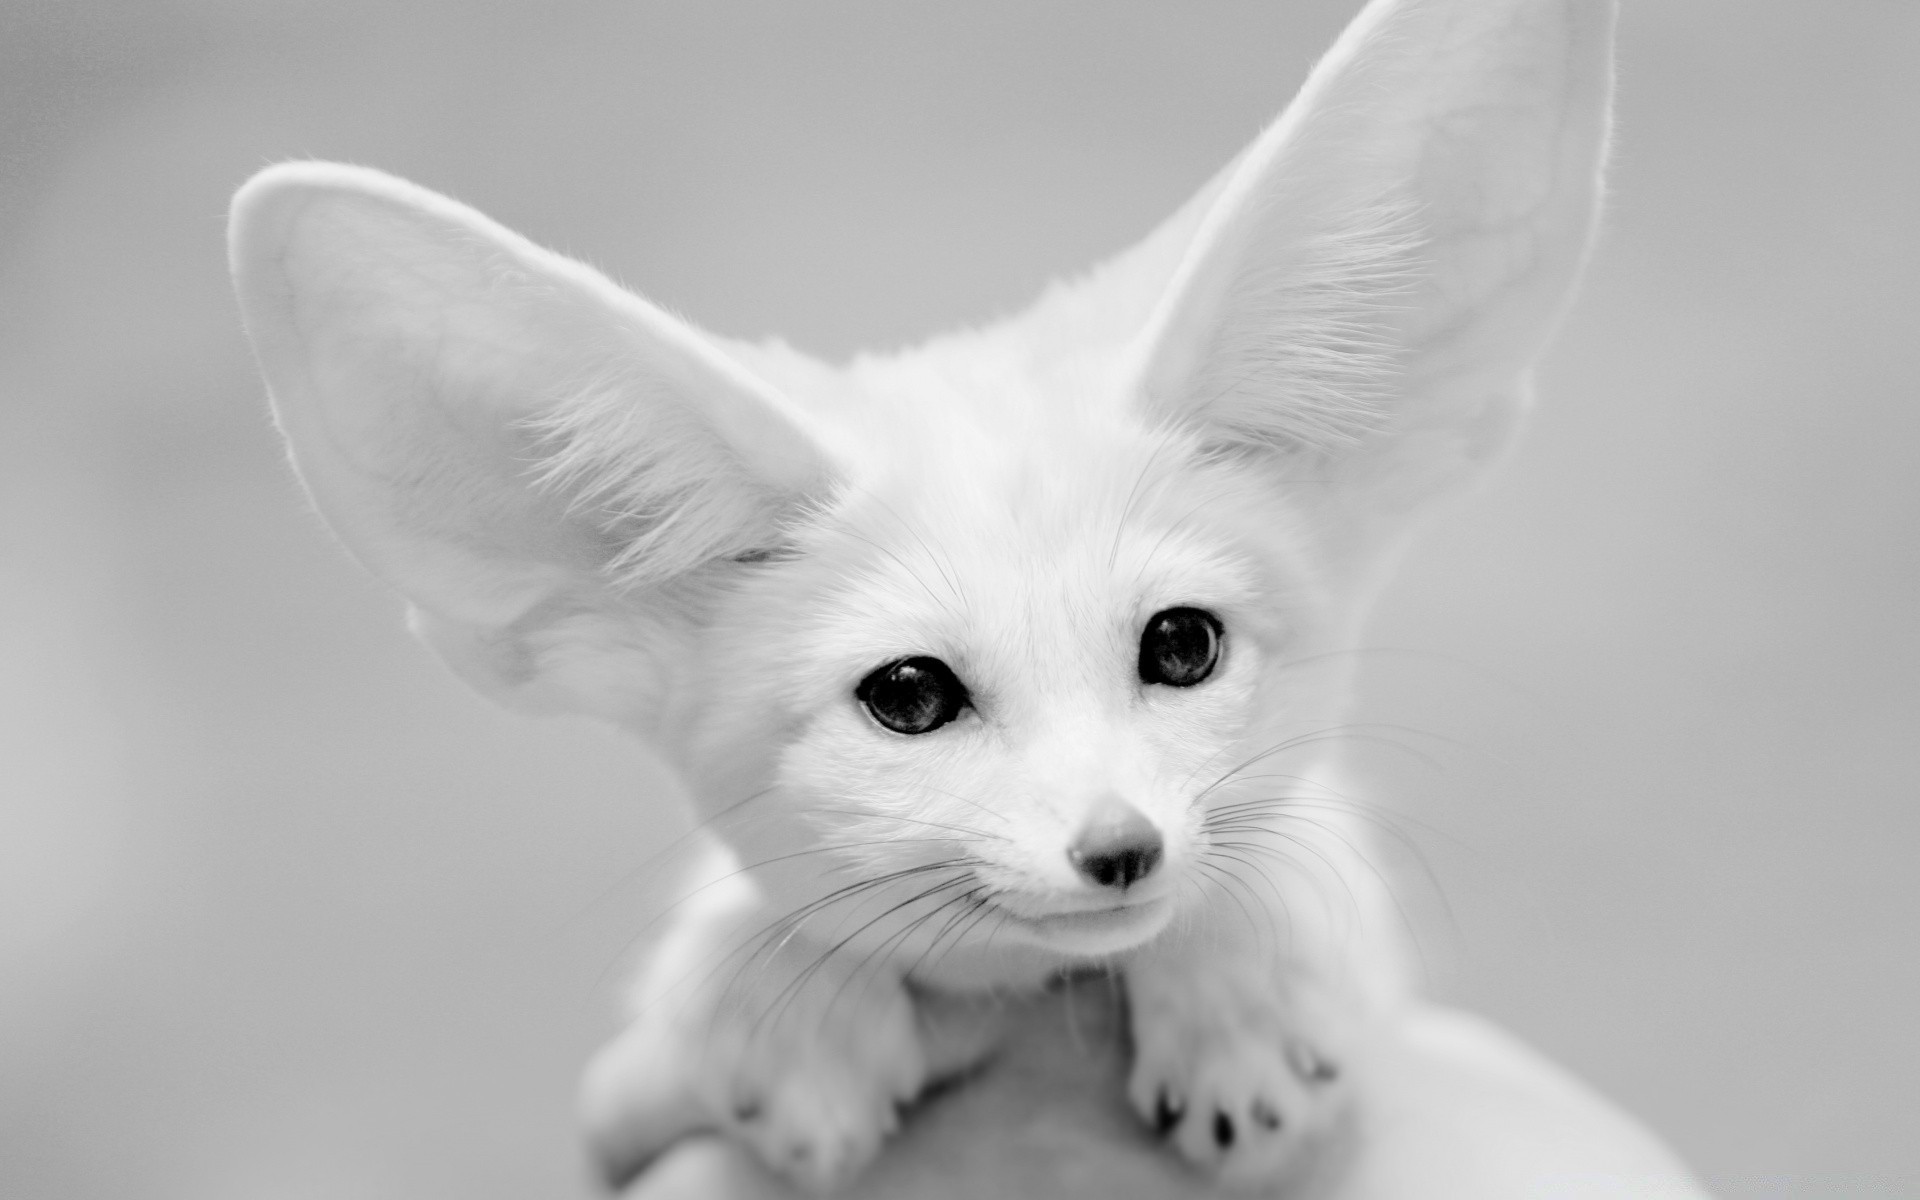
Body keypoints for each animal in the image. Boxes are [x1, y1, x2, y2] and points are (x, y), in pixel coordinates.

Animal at [232, 0, 1620, 1182]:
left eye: (1182, 645)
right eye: (909, 694)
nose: (1120, 849)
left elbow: (1283, 850)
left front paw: (1241, 988)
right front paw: (785, 1007)